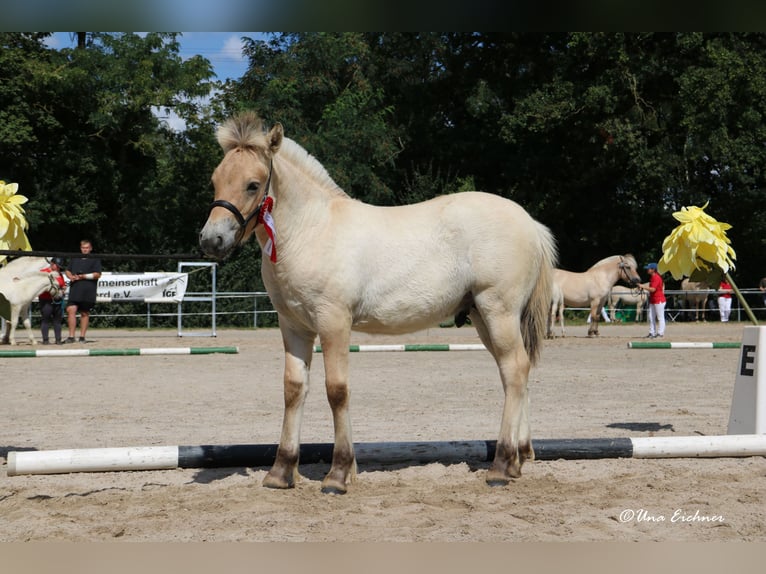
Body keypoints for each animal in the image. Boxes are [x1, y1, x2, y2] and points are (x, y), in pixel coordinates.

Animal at [198, 112, 560, 496]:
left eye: (253, 185)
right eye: (215, 180)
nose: (211, 240)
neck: (311, 230)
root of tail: (531, 224)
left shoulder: (334, 322)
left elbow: (337, 390)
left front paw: (339, 474)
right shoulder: (293, 325)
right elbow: (294, 389)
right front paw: (281, 472)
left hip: (498, 312)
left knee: (515, 369)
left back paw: (501, 466)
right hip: (483, 317)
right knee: (516, 372)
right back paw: (518, 459)